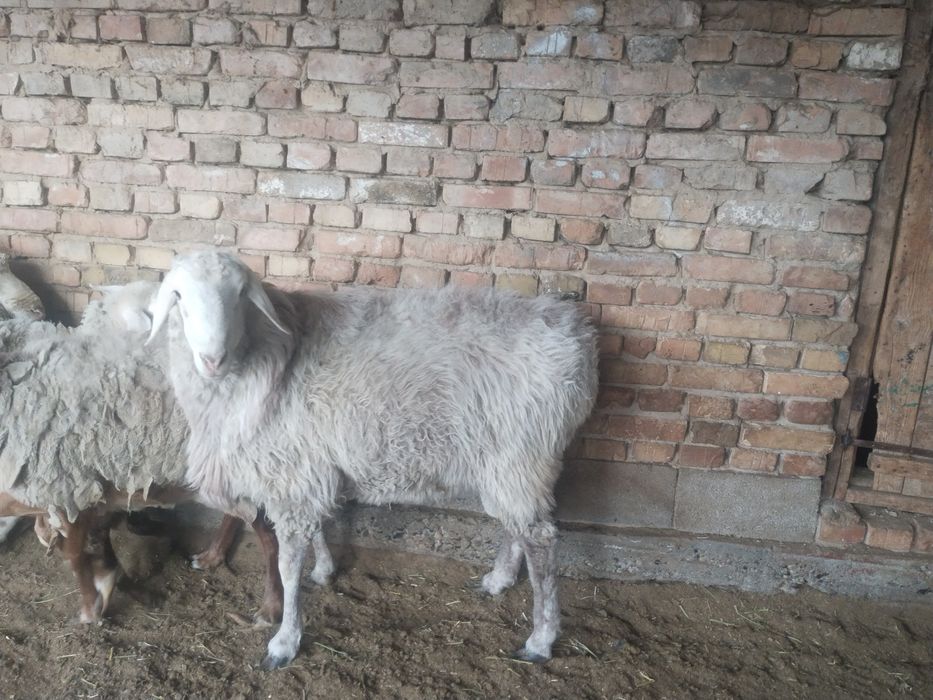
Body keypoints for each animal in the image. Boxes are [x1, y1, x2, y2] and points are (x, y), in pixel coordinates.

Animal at [147, 250, 599, 668]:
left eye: (241, 294)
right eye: (178, 295)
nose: (212, 359)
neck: (269, 357)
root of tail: (578, 336)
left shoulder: (291, 473)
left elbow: (288, 565)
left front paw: (284, 641)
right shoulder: (309, 463)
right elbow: (317, 529)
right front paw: (324, 571)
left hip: (524, 454)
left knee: (540, 542)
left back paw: (540, 640)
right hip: (505, 461)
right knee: (517, 527)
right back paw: (498, 580)